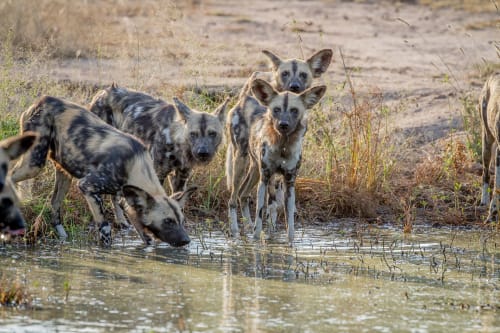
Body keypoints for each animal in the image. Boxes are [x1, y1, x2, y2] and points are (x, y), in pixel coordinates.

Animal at [11, 94, 195, 245]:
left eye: (181, 220)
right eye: (168, 221)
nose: (186, 240)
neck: (134, 165)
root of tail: (43, 100)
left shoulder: (127, 201)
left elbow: (145, 237)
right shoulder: (87, 187)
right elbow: (106, 230)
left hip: (63, 173)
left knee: (54, 207)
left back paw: (63, 238)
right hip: (33, 165)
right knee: (11, 176)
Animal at [228, 48, 332, 237]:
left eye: (294, 110)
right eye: (285, 73)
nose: (294, 87)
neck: (283, 144)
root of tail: (245, 99)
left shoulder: (288, 180)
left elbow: (288, 219)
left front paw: (280, 238)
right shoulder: (267, 177)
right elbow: (264, 212)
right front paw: (261, 238)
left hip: (255, 169)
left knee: (243, 195)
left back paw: (247, 227)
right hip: (241, 162)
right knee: (233, 199)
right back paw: (236, 232)